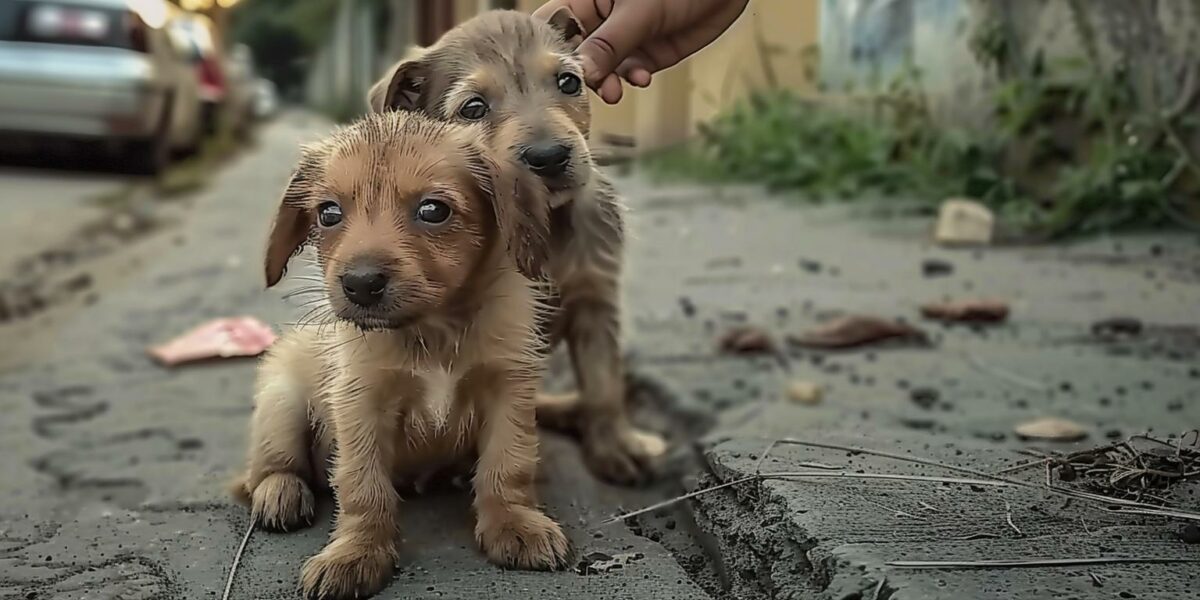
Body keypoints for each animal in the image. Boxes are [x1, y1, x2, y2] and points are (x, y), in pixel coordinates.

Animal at [237, 112, 571, 600]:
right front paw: (356, 552)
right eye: (328, 213)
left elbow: (507, 465)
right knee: (268, 467)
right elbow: (363, 487)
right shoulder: (360, 403)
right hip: (282, 399)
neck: (432, 331)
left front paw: (514, 523)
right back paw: (280, 492)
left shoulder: (508, 388)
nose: (360, 284)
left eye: (433, 210)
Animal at [364, 7, 667, 484]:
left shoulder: (596, 303)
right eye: (473, 108)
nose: (549, 157)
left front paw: (616, 445)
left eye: (568, 82)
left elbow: (603, 384)